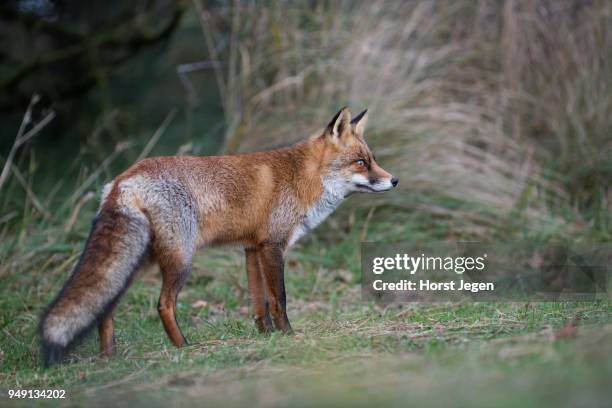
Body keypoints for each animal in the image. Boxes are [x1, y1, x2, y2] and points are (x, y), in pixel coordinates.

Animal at [40, 107, 400, 366]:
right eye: (361, 162)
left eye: (373, 160)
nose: (394, 180)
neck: (303, 177)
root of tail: (122, 179)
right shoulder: (273, 246)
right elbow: (279, 298)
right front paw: (288, 335)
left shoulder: (252, 248)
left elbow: (259, 302)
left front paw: (266, 336)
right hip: (180, 258)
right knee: (163, 304)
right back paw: (183, 347)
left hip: (139, 260)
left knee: (107, 307)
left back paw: (109, 357)